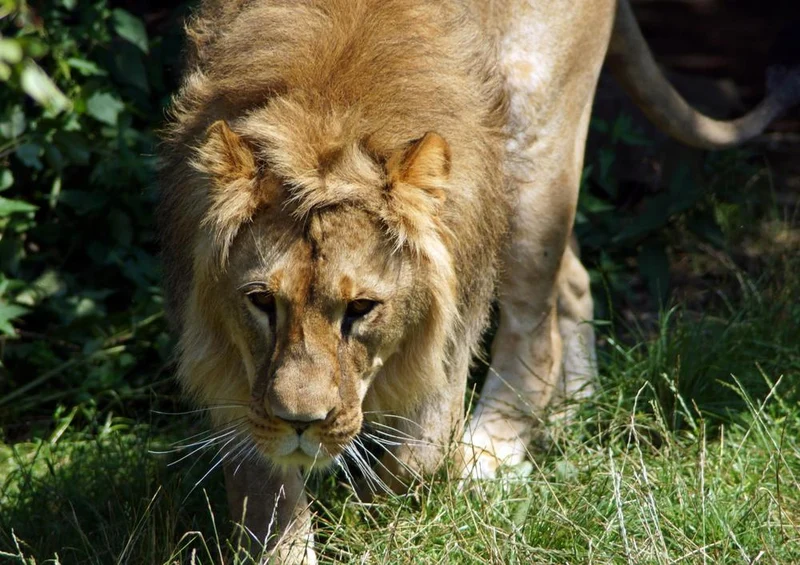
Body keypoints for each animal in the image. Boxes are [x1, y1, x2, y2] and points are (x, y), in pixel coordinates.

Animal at [158, 0, 799, 561]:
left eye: (361, 308)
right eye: (261, 301)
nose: (300, 423)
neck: (330, 109)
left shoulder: (447, 327)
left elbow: (413, 458)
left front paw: (381, 521)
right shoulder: (237, 372)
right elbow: (266, 503)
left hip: (532, 141)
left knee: (535, 321)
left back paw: (494, 452)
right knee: (573, 280)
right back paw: (572, 414)